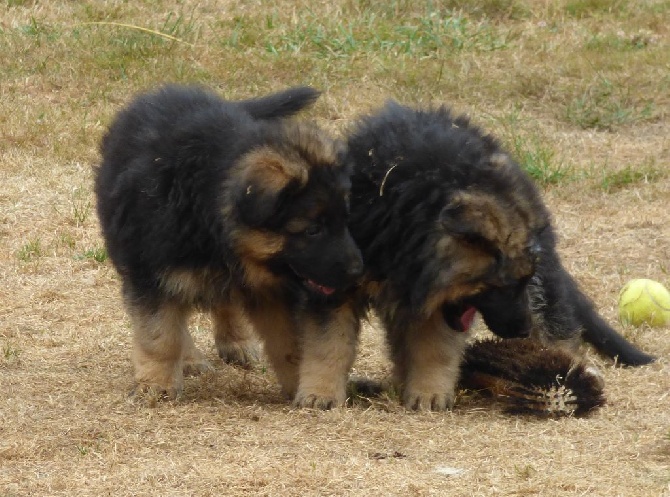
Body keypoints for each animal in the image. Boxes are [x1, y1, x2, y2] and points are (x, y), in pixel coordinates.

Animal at [96, 85, 362, 406]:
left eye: (345, 220)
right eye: (313, 230)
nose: (357, 272)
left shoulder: (275, 289)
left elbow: (288, 343)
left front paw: (304, 382)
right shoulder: (150, 275)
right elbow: (160, 335)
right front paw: (157, 384)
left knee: (225, 301)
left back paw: (236, 342)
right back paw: (189, 359)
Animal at [344, 101, 652, 410]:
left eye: (519, 283)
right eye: (499, 286)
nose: (523, 332)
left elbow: (432, 345)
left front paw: (428, 393)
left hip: (544, 280)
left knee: (556, 322)